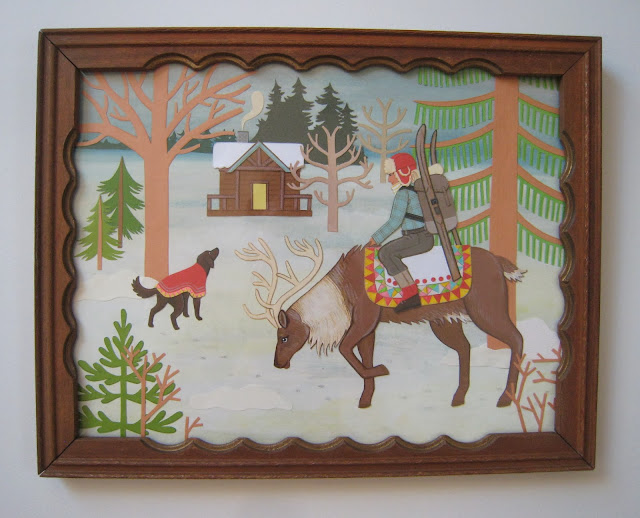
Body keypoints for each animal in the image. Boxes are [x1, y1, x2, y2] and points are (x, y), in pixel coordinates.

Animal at [235, 237, 525, 409]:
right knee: (465, 348)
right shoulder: (369, 327)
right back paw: (459, 397)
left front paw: (382, 371)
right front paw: (366, 399)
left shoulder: (365, 318)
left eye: (283, 336)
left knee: (517, 339)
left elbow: (345, 350)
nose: (278, 363)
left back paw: (505, 397)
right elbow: (364, 356)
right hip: (444, 320)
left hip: (486, 310)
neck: (341, 296)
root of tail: (500, 263)